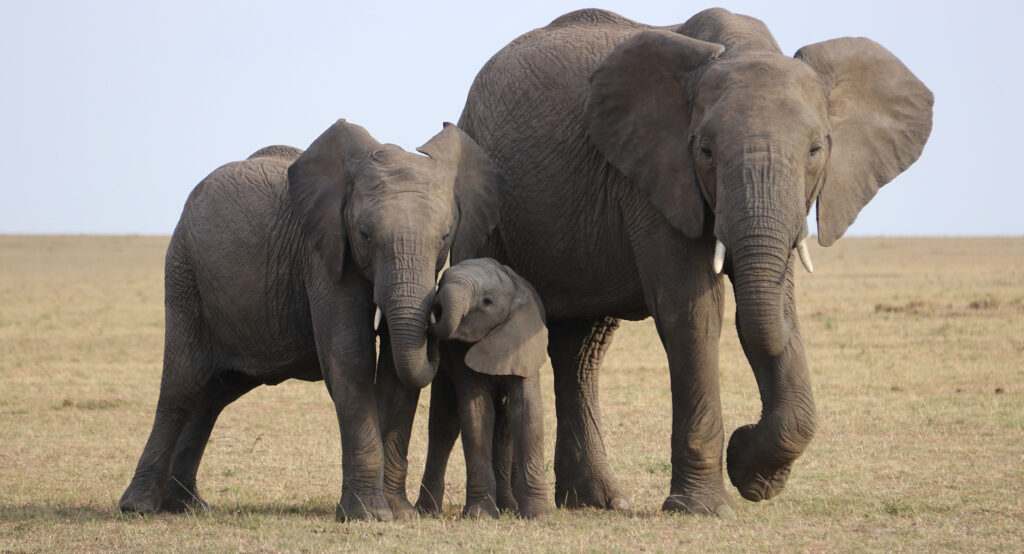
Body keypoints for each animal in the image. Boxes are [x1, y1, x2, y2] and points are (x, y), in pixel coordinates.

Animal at [118, 119, 505, 521]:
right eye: (365, 235)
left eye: (445, 236)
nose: (439, 313)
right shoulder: (322, 254)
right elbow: (351, 358)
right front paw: (369, 514)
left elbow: (396, 371)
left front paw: (399, 513)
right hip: (184, 273)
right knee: (183, 383)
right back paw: (139, 507)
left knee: (213, 394)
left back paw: (187, 506)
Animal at [414, 258, 552, 519]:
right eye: (441, 282)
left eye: (487, 301)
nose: (435, 308)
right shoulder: (458, 352)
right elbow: (477, 414)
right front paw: (480, 515)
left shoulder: (523, 342)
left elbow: (526, 411)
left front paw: (537, 515)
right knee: (443, 424)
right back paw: (426, 511)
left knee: (504, 427)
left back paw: (508, 507)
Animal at [451, 8, 933, 515]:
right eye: (704, 150)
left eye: (816, 149)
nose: (743, 438)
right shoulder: (653, 177)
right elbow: (692, 311)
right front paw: (707, 506)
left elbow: (777, 309)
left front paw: (755, 478)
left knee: (582, 348)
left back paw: (599, 502)